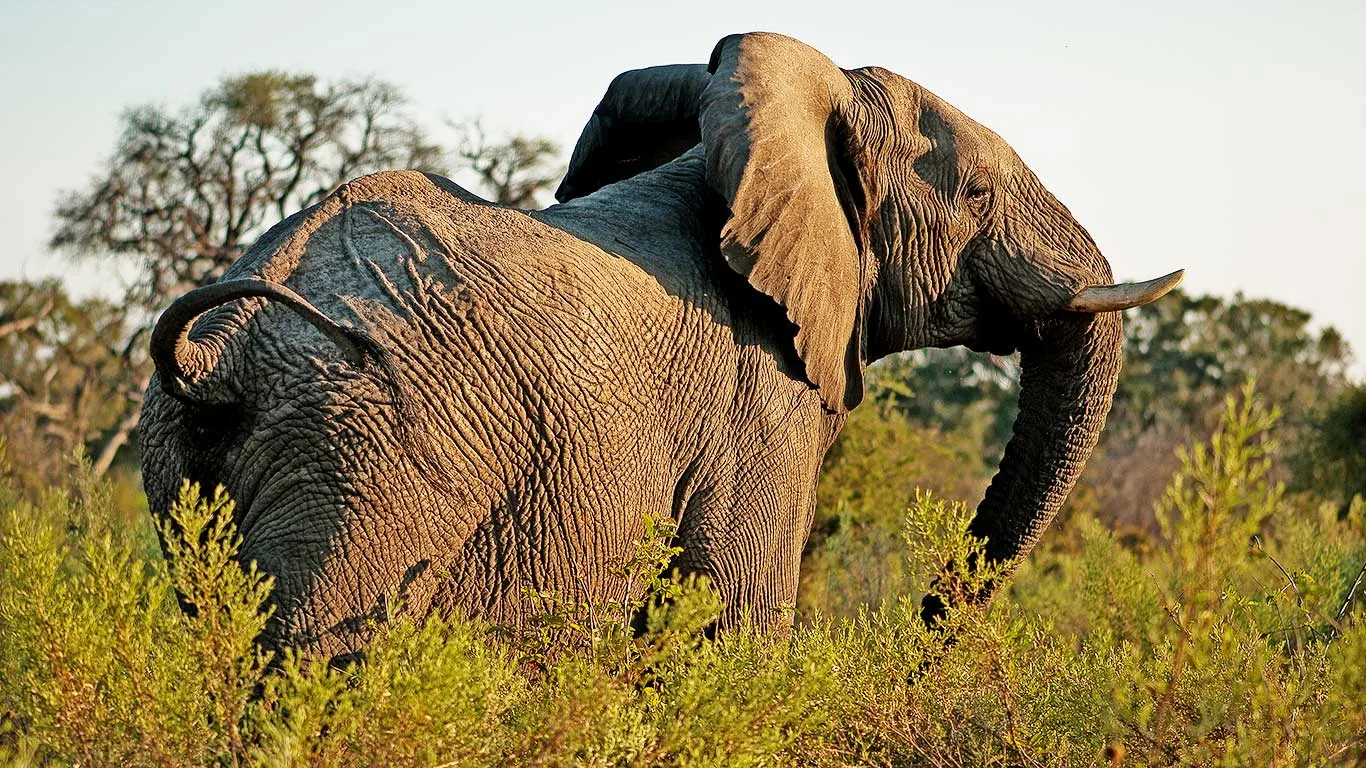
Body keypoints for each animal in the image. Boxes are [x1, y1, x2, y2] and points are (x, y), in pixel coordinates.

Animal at [140, 32, 1182, 660]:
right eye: (973, 194)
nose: (925, 624)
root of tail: (217, 358)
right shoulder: (758, 398)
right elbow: (738, 620)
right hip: (365, 465)